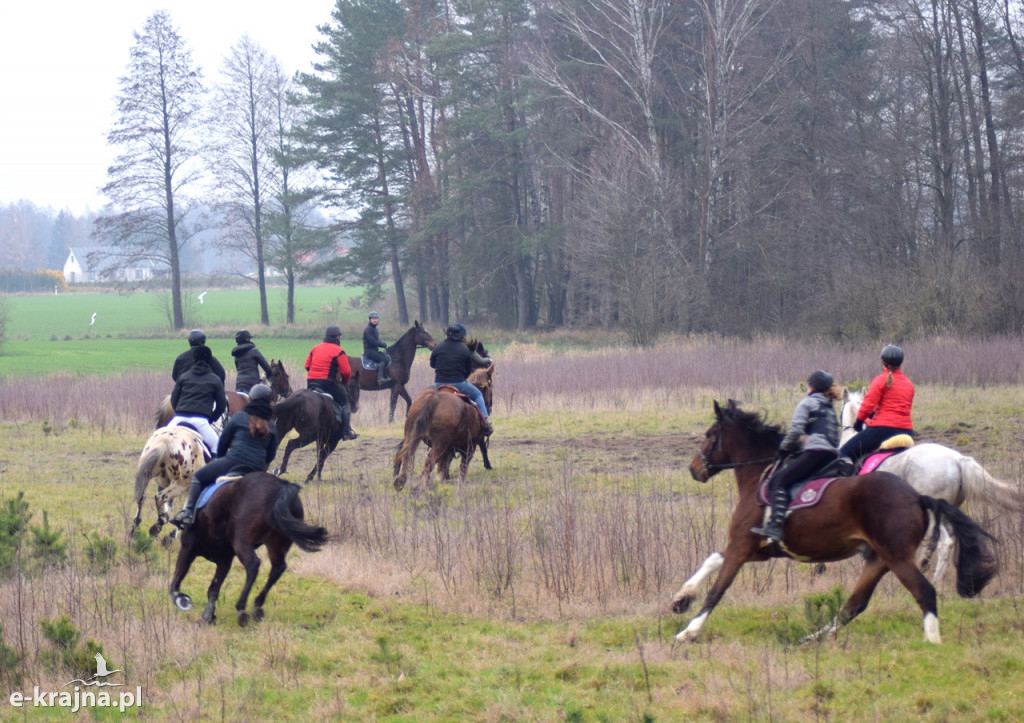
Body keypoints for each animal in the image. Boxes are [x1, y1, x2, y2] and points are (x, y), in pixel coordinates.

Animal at [167, 471, 327, 622]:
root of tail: (281, 486)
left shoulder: (188, 547)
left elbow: (177, 578)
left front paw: (180, 599)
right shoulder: (224, 559)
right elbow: (213, 588)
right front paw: (208, 616)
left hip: (242, 541)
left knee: (253, 565)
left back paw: (241, 608)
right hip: (277, 543)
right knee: (278, 568)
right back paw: (257, 605)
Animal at [389, 362, 493, 493]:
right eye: (490, 385)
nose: (490, 407)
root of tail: (433, 398)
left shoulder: (448, 449)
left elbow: (442, 468)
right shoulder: (470, 446)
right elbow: (463, 469)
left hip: (411, 435)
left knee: (406, 454)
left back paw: (400, 481)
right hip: (440, 443)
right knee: (428, 462)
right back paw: (424, 488)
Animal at [667, 399, 995, 643]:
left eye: (710, 434)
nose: (694, 469)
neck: (763, 473)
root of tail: (916, 496)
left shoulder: (742, 546)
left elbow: (717, 588)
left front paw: (688, 631)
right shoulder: (758, 549)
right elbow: (713, 559)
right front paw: (681, 599)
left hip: (896, 557)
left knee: (924, 590)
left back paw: (932, 642)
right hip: (878, 559)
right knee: (854, 605)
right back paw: (813, 637)